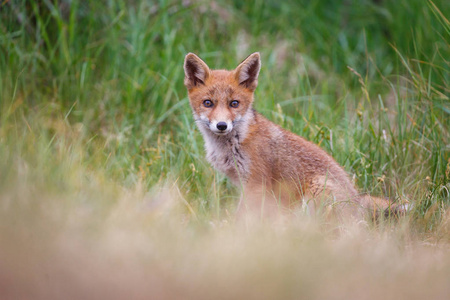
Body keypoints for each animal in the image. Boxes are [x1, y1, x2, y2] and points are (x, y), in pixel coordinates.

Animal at [183, 52, 404, 220]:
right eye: (208, 103)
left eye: (234, 103)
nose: (221, 125)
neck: (235, 143)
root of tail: (357, 200)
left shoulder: (256, 183)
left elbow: (244, 217)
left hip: (316, 192)